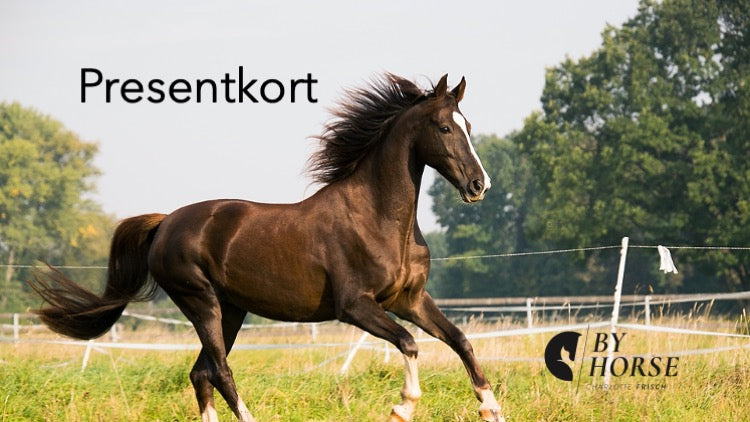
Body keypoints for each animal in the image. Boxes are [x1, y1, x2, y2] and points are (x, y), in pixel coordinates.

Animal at [30, 73, 504, 422]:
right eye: (444, 127)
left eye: (468, 126)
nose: (478, 186)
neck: (379, 220)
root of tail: (165, 222)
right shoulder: (355, 306)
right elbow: (409, 343)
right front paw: (403, 406)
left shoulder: (410, 299)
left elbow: (460, 340)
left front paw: (491, 407)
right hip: (201, 302)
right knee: (219, 370)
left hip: (231, 310)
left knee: (201, 373)